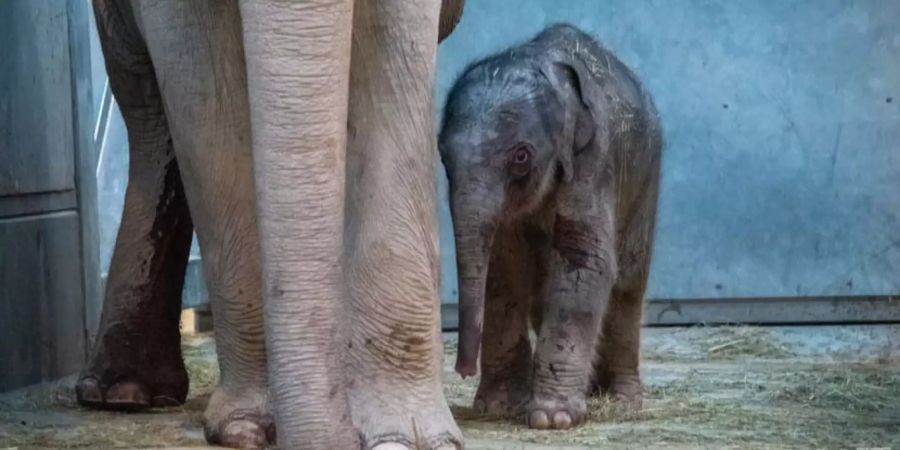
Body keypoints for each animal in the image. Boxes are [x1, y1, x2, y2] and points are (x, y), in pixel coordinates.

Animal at [79, 0, 464, 450]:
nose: (341, 433)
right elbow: (206, 96)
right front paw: (247, 428)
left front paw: (408, 439)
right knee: (145, 107)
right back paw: (122, 391)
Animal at [442, 23, 660, 428]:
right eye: (443, 156)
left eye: (521, 156)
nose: (463, 370)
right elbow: (503, 268)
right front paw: (499, 406)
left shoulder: (593, 160)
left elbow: (584, 260)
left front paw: (553, 418)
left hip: (646, 180)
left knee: (627, 286)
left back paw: (622, 400)